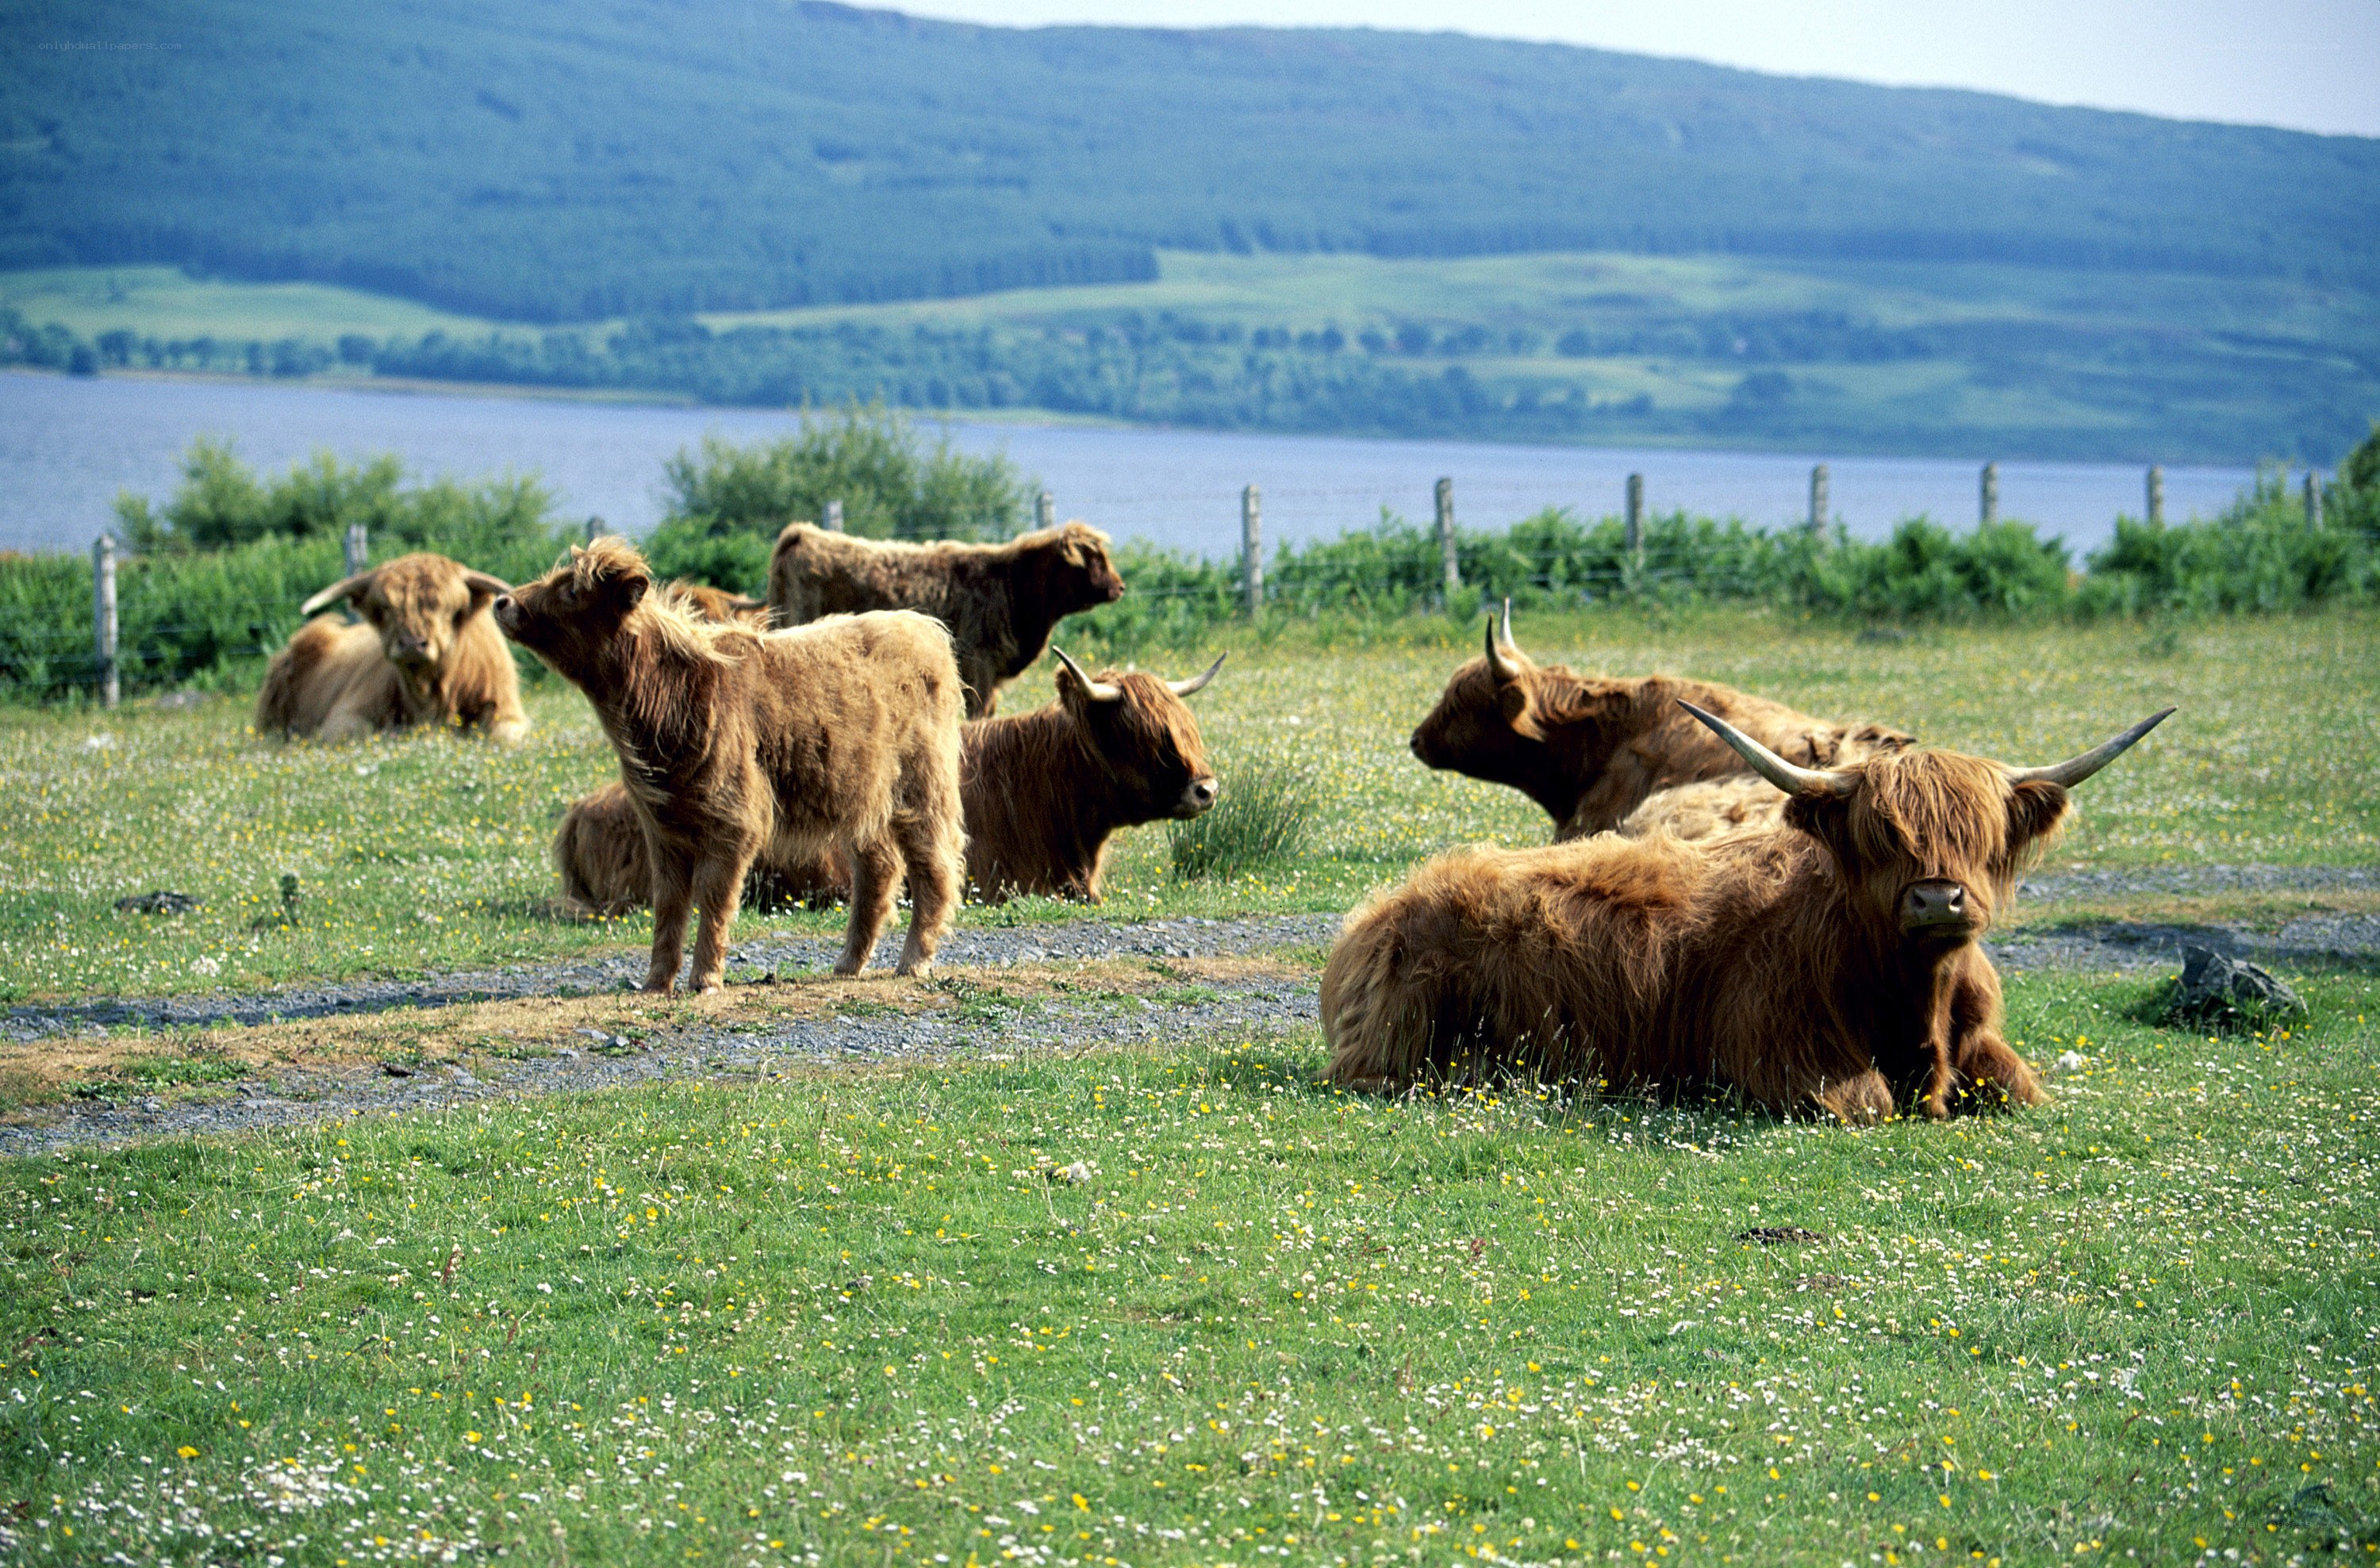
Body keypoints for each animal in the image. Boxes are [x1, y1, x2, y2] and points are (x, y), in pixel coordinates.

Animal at [254, 553, 527, 743]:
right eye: (387, 608)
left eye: (444, 607)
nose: (412, 644)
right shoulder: (344, 715)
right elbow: (361, 731)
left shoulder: (507, 712)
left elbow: (505, 734)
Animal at [493, 539, 966, 991]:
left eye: (572, 590)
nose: (502, 602)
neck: (671, 696)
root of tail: (920, 626)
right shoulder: (661, 827)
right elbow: (669, 904)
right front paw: (656, 981)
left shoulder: (733, 820)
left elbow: (713, 897)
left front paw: (705, 978)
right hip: (863, 797)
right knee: (877, 870)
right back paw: (848, 964)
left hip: (923, 789)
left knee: (933, 868)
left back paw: (913, 961)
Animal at [1322, 704, 2174, 1121]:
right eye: (1880, 833)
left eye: (1980, 833)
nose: (1938, 897)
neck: (1912, 999)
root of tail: (1379, 910)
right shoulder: (1773, 1046)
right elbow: (1868, 1100)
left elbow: (2020, 1085)